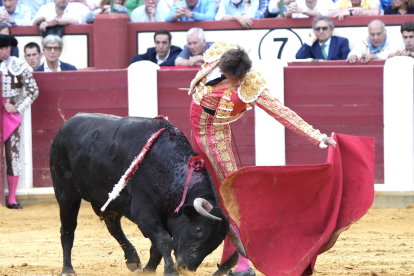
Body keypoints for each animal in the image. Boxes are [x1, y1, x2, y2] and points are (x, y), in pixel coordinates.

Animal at [51, 113, 246, 274]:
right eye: (199, 229)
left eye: (216, 243)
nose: (186, 268)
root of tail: (64, 127)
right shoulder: (144, 213)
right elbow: (164, 240)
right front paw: (170, 271)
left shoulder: (164, 215)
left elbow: (157, 246)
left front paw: (148, 269)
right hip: (66, 193)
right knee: (68, 229)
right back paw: (67, 269)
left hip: (107, 201)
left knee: (113, 227)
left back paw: (132, 260)